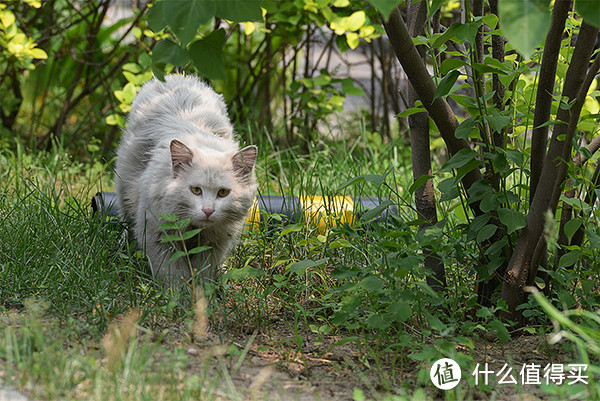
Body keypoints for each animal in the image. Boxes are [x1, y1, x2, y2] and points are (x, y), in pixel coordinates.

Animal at [115, 75, 258, 288]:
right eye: (195, 190)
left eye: (223, 193)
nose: (208, 211)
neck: (195, 228)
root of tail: (174, 77)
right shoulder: (159, 237)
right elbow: (171, 275)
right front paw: (177, 295)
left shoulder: (214, 243)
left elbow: (203, 274)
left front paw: (202, 293)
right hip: (124, 186)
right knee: (125, 219)